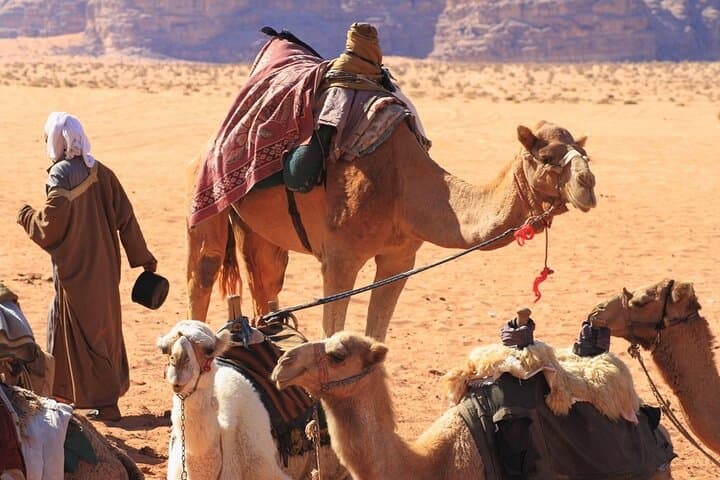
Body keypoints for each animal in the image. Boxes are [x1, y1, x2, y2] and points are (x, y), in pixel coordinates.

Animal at [187, 120, 597, 340]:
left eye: (584, 153)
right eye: (546, 157)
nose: (589, 184)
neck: (405, 188)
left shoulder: (400, 259)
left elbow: (377, 336)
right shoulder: (339, 259)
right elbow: (332, 334)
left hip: (258, 229)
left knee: (265, 278)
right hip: (206, 199)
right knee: (203, 276)